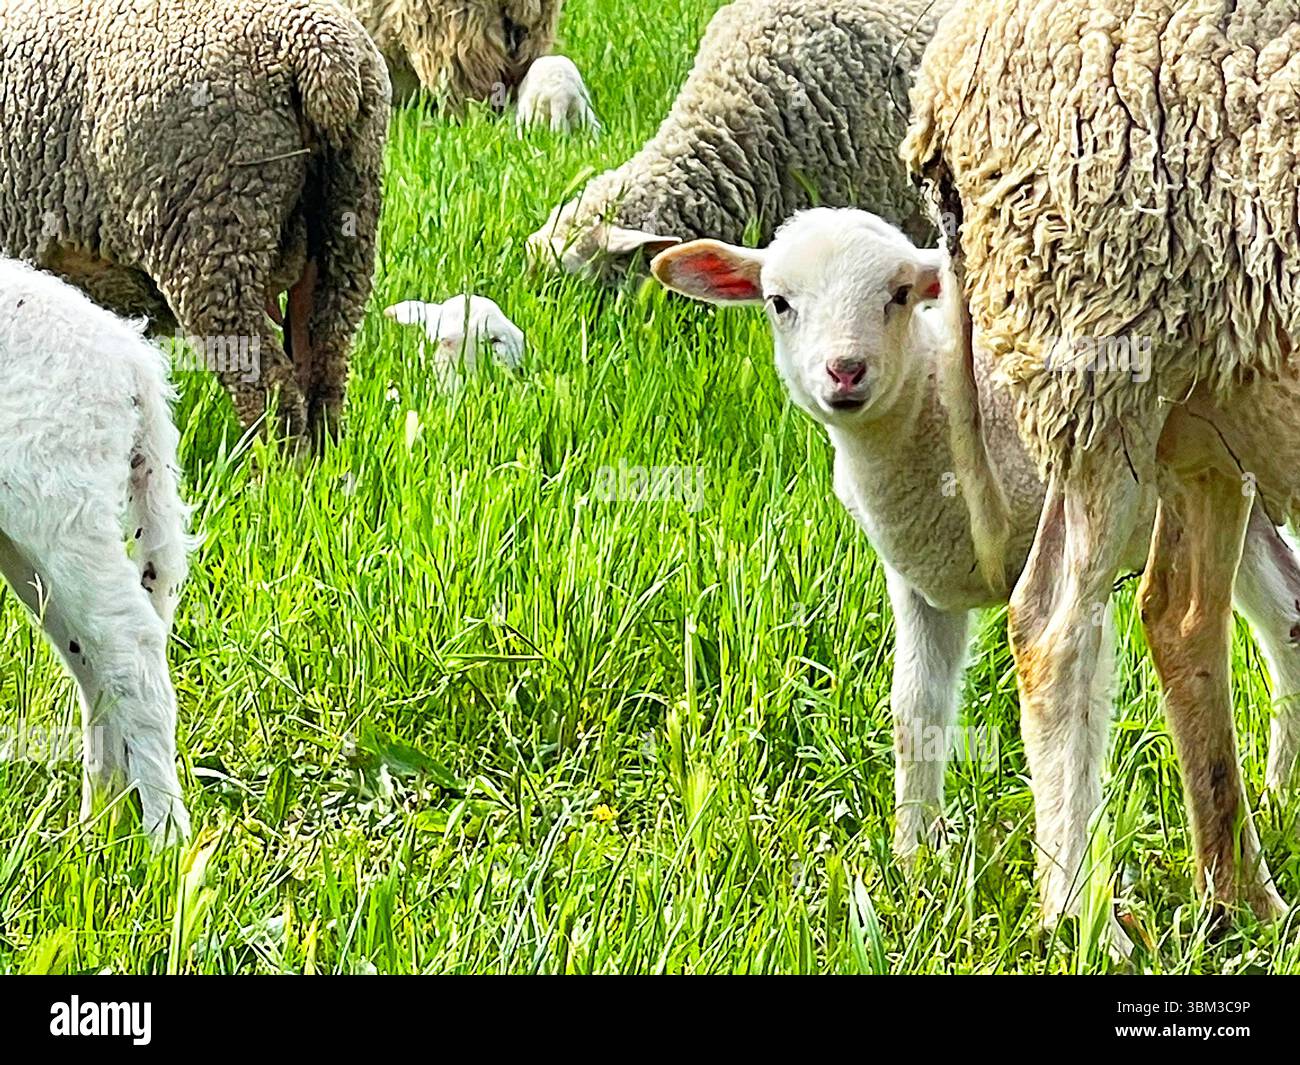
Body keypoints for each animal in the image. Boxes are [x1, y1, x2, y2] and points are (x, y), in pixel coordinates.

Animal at [0, 257, 191, 843]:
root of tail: (130, 355)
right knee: (91, 659)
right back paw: (97, 826)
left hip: (61, 499)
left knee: (130, 647)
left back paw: (164, 839)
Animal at [652, 207, 1300, 953]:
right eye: (779, 302)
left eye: (901, 294)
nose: (845, 371)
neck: (930, 406)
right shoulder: (917, 584)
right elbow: (914, 707)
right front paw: (915, 854)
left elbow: (1071, 698)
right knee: (1283, 614)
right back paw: (1280, 794)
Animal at [901, 0, 1300, 950]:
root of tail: (942, 75)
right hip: (1103, 355)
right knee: (1052, 625)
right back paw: (1085, 915)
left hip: (1203, 406)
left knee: (1180, 613)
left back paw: (1242, 897)